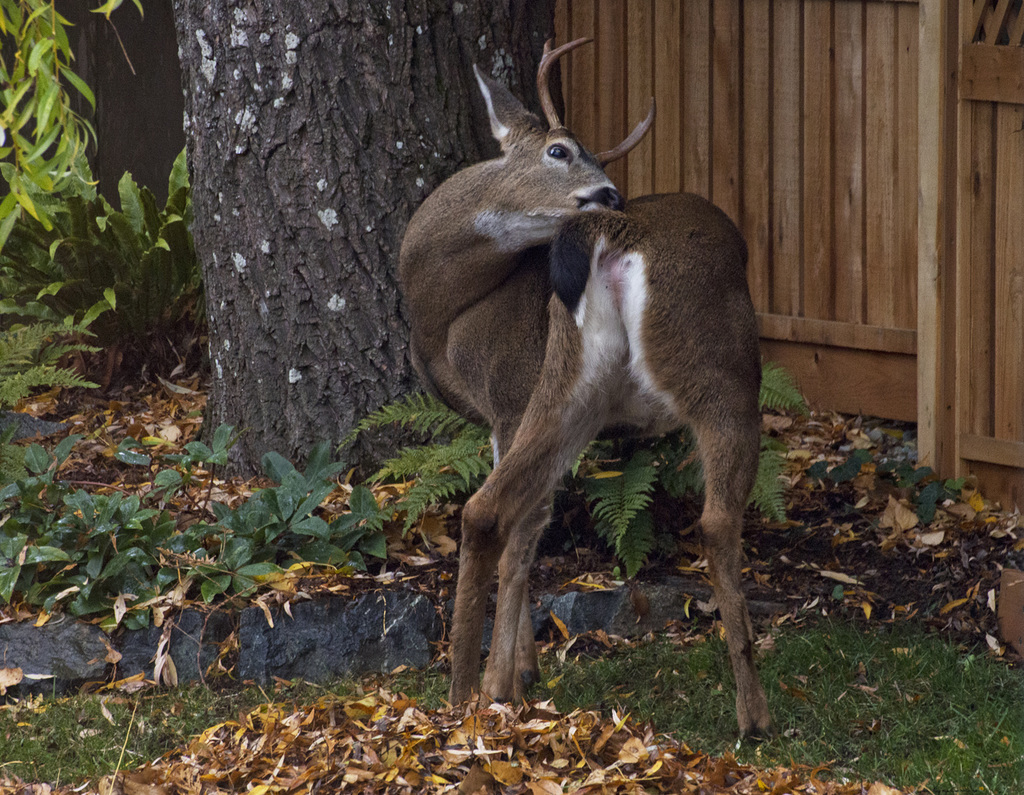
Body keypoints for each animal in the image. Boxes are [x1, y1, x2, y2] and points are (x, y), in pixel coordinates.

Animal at [395, 38, 770, 737]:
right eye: (560, 150)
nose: (610, 193)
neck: (446, 313)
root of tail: (614, 237)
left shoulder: (510, 401)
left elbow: (527, 530)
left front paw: (513, 677)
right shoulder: (514, 407)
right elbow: (529, 529)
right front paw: (513, 677)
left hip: (602, 389)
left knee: (487, 510)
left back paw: (460, 696)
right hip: (703, 374)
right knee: (714, 522)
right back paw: (753, 714)